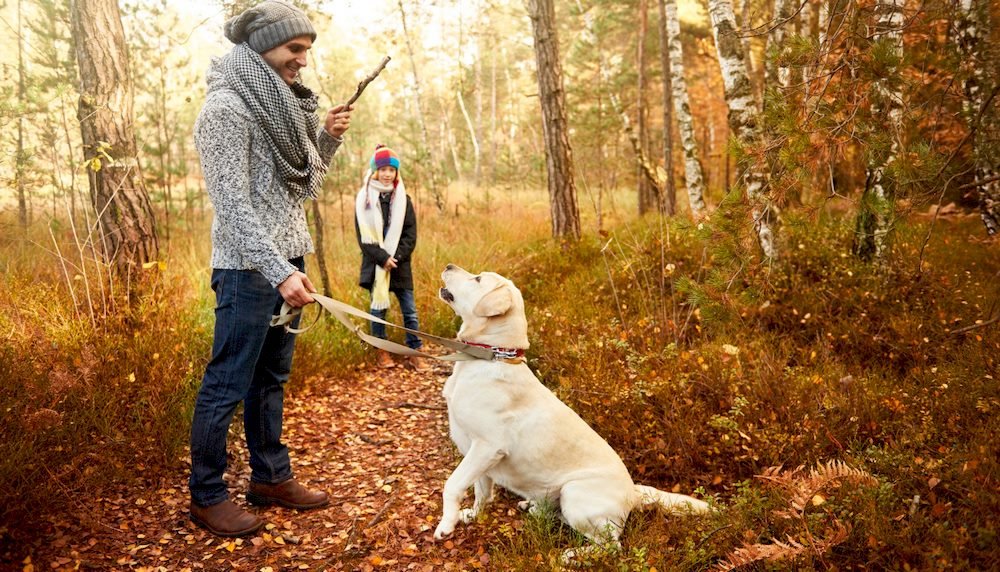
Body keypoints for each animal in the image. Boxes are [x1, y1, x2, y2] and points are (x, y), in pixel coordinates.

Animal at [434, 264, 708, 560]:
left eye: (477, 279)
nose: (448, 266)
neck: (492, 355)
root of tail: (633, 493)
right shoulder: (477, 454)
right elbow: (481, 492)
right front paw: (471, 516)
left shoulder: (487, 447)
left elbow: (453, 485)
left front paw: (446, 525)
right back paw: (531, 507)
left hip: (573, 493)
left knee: (610, 547)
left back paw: (572, 555)